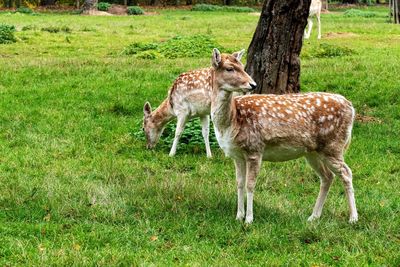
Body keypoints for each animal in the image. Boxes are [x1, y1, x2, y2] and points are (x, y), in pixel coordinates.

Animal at [211, 48, 358, 224]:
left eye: (241, 65)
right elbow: (239, 184)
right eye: (230, 68)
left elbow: (250, 184)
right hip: (313, 152)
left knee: (346, 173)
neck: (232, 121)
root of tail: (351, 107)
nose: (253, 84)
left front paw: (249, 219)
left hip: (333, 145)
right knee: (327, 176)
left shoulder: (255, 148)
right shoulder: (237, 155)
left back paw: (353, 218)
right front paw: (238, 216)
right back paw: (313, 216)